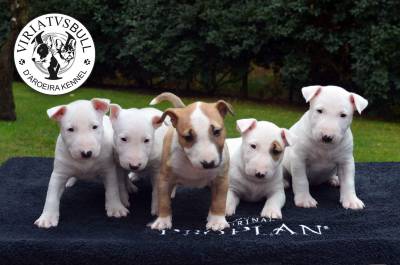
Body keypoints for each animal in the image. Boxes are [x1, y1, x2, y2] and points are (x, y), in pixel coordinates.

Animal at [34, 98, 129, 228]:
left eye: (94, 127)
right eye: (70, 129)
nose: (86, 153)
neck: (85, 162)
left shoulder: (108, 170)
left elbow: (112, 189)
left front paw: (116, 208)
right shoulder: (59, 173)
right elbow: (51, 195)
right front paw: (47, 218)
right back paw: (69, 181)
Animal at [148, 92, 233, 230]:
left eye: (217, 131)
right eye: (188, 137)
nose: (208, 164)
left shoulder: (221, 178)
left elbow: (219, 200)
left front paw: (217, 221)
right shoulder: (164, 178)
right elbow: (164, 200)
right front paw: (162, 220)